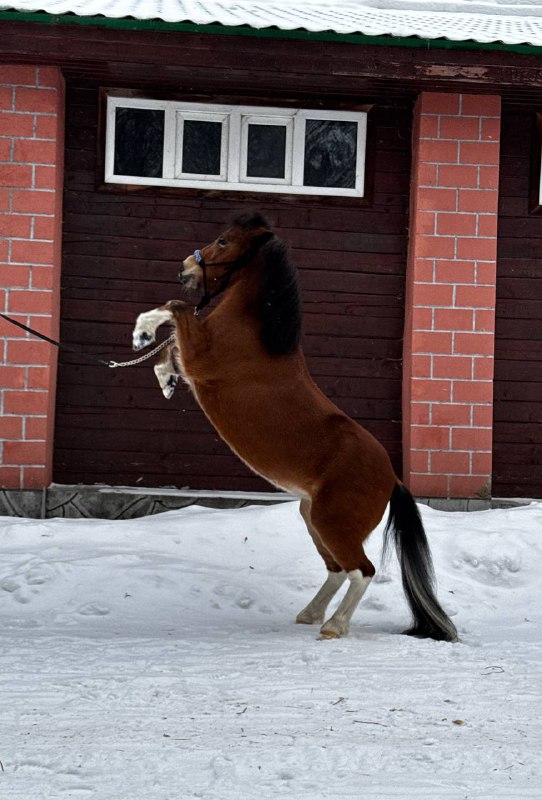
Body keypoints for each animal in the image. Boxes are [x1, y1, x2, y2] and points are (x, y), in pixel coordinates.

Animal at [133, 209, 460, 640]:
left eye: (223, 241)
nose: (184, 268)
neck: (254, 332)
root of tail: (392, 478)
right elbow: (170, 340)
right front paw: (165, 379)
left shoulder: (202, 356)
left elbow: (175, 310)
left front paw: (142, 333)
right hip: (312, 518)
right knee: (338, 569)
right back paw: (310, 613)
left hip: (330, 522)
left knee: (362, 570)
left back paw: (334, 626)